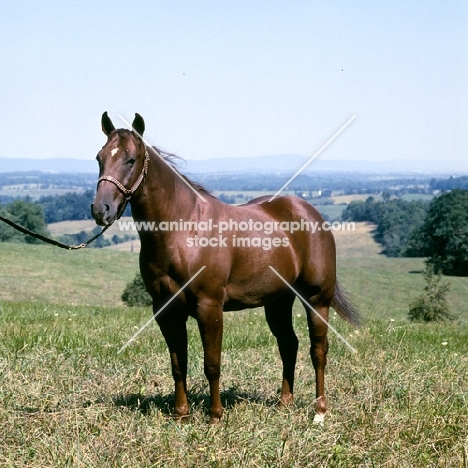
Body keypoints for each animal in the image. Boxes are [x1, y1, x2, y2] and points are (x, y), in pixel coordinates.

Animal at [90, 113, 358, 424]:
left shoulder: (209, 306)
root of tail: (311, 214)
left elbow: (212, 364)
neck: (184, 229)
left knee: (318, 350)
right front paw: (181, 415)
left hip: (317, 300)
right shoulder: (166, 310)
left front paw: (215, 416)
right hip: (278, 301)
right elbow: (178, 364)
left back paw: (319, 412)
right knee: (289, 344)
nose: (101, 209)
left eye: (131, 159)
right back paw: (284, 403)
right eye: (99, 157)